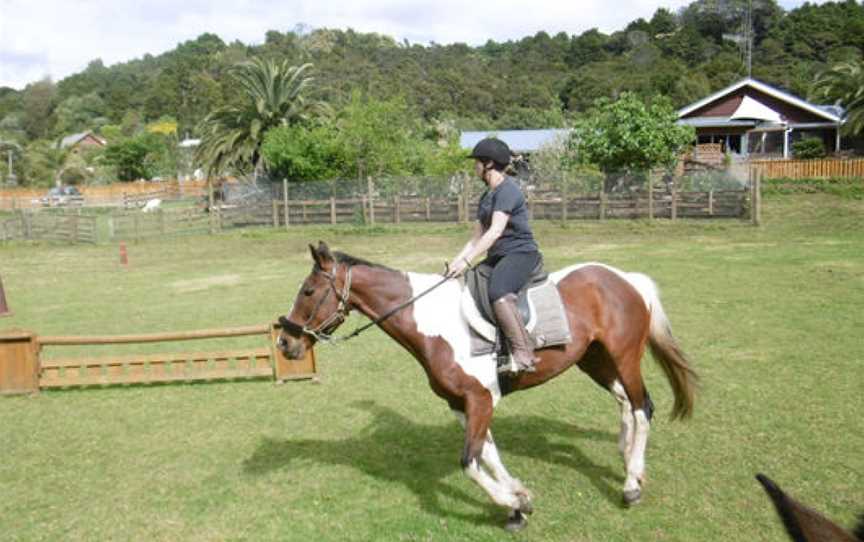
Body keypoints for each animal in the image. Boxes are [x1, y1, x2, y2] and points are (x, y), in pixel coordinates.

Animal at [280, 242, 700, 532]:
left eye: (307, 291)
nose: (285, 343)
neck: (432, 324)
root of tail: (626, 279)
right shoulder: (460, 403)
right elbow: (488, 454)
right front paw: (517, 501)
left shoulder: (480, 399)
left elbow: (470, 461)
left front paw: (517, 502)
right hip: (593, 360)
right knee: (627, 403)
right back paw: (629, 461)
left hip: (624, 357)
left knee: (641, 407)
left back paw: (631, 484)